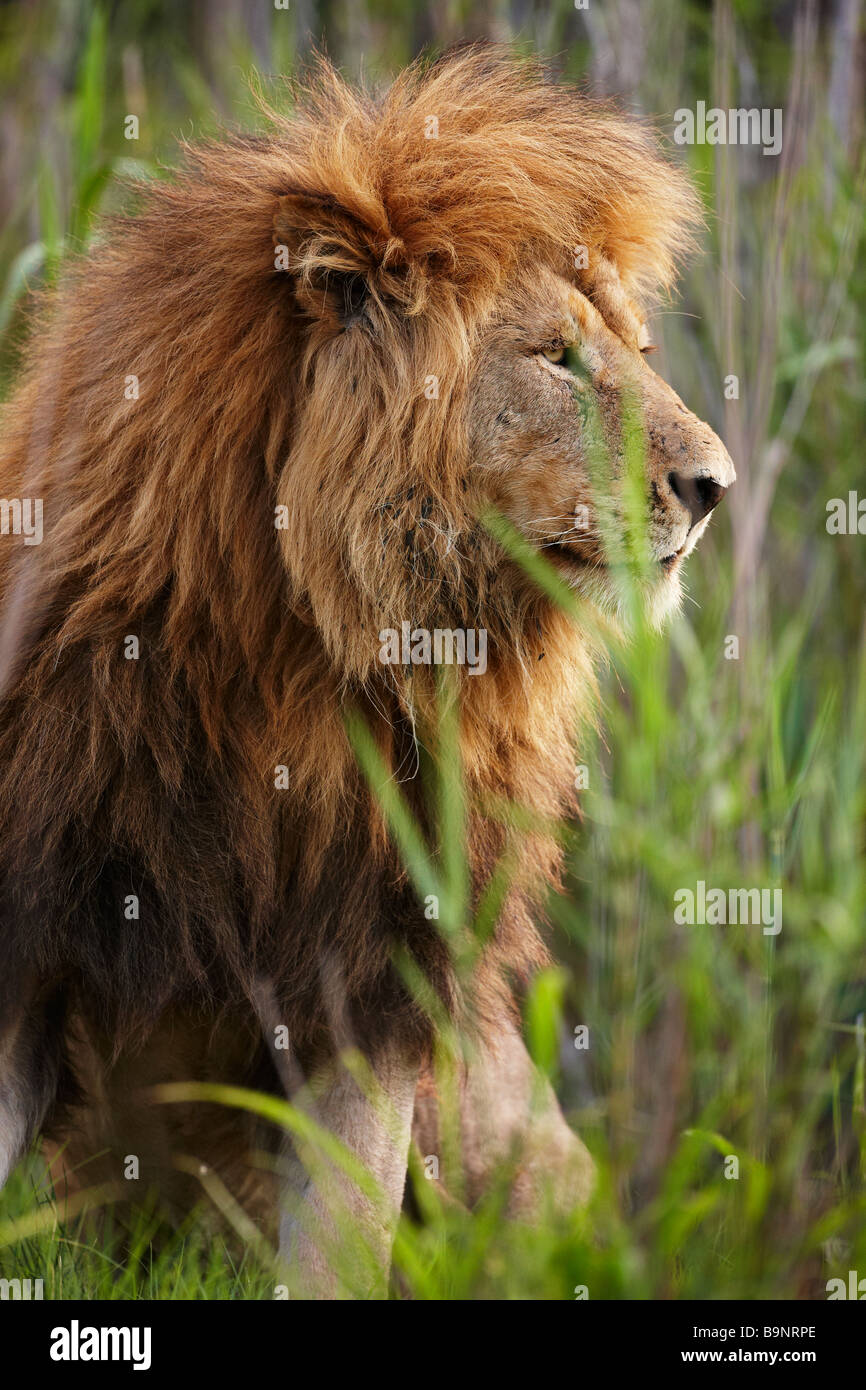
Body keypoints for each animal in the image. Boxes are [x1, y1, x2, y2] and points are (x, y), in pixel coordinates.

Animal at [0, 46, 733, 1295]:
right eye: (555, 357)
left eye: (636, 353)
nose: (715, 485)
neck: (290, 657)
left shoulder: (377, 972)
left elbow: (338, 1242)